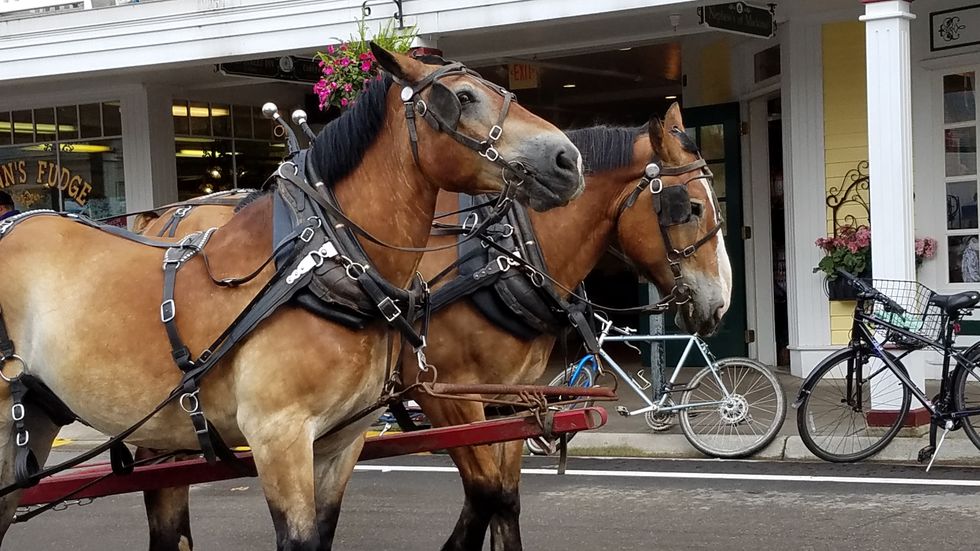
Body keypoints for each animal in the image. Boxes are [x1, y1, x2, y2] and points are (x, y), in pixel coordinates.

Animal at [0, 44, 584, 551]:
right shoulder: (277, 436)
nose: (567, 159)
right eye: (462, 98)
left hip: (38, 420)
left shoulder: (340, 441)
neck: (326, 261)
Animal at [131, 103, 730, 551]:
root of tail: (165, 219)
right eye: (690, 208)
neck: (508, 249)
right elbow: (486, 494)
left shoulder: (511, 398)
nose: (721, 304)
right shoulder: (447, 394)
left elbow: (506, 500)